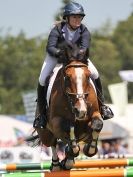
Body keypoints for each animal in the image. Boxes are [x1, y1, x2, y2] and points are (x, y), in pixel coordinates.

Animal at [32, 42, 103, 170]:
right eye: (67, 77)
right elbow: (69, 127)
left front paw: (89, 149)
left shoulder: (95, 113)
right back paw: (57, 165)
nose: (80, 110)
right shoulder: (56, 121)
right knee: (52, 143)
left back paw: (67, 161)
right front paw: (71, 151)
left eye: (88, 76)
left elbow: (97, 124)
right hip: (45, 134)